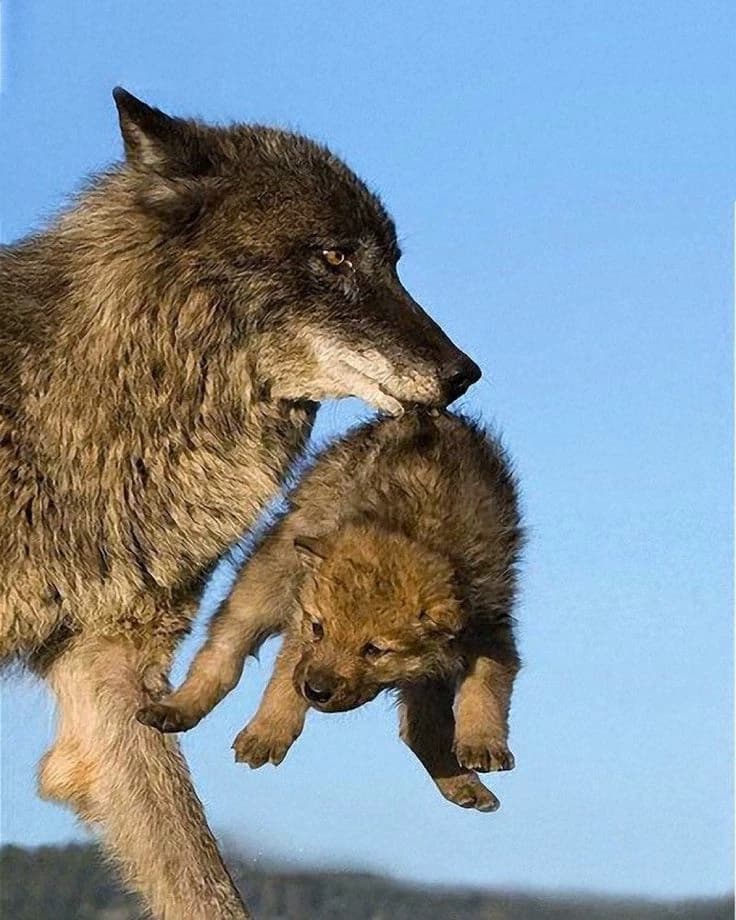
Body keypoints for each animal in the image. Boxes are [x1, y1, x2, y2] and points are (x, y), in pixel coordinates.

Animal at [138, 410, 522, 813]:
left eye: (374, 650)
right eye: (318, 629)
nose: (316, 691)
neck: (416, 530)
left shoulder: (490, 625)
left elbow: (487, 685)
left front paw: (482, 741)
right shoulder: (299, 625)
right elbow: (283, 676)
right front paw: (268, 730)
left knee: (419, 729)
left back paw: (464, 785)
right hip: (265, 581)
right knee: (221, 654)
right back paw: (178, 706)